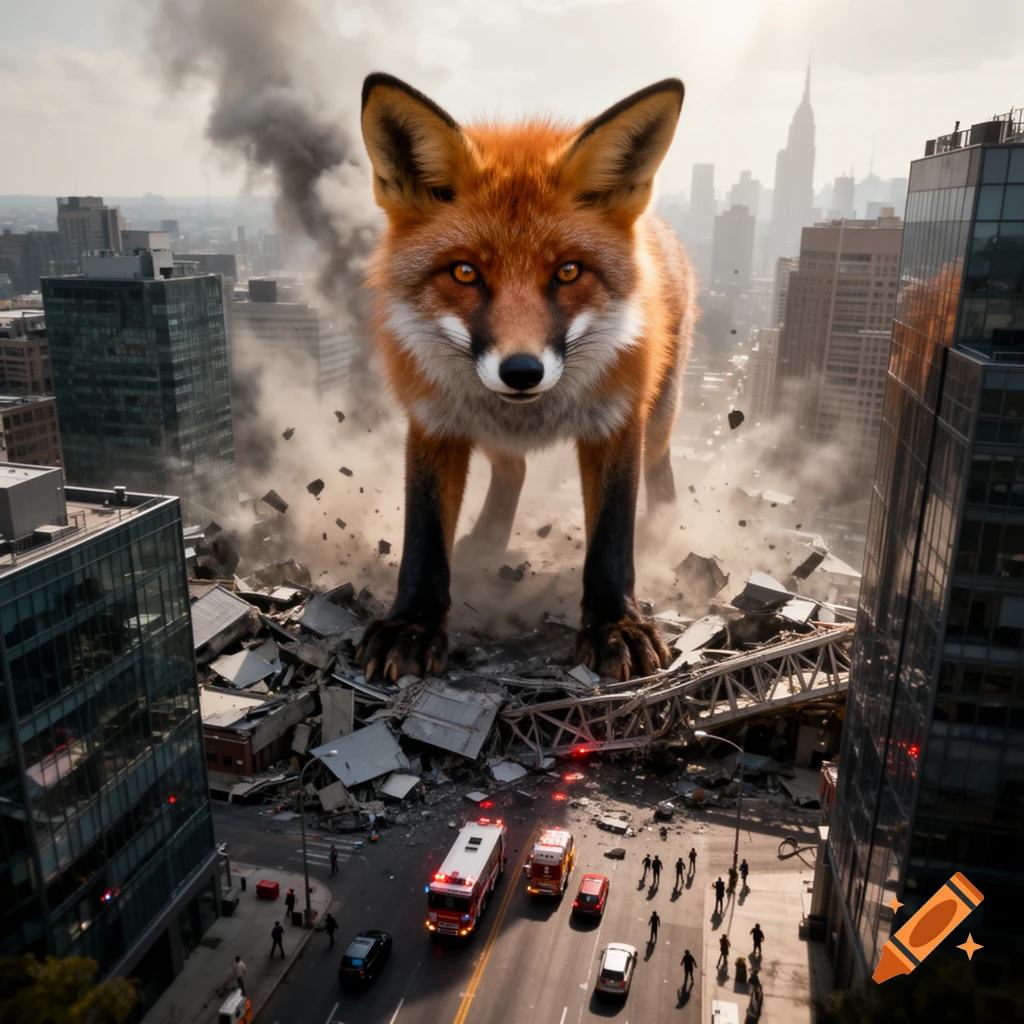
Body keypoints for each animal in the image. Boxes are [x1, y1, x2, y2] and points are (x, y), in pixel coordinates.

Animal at [356, 72, 696, 683]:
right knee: (511, 471)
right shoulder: (434, 419)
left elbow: (612, 538)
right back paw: (488, 541)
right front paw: (412, 624)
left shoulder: (617, 420)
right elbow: (423, 537)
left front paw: (615, 625)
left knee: (658, 465)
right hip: (486, 427)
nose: (521, 372)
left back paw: (665, 530)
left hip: (660, 412)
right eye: (466, 272)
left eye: (568, 272)